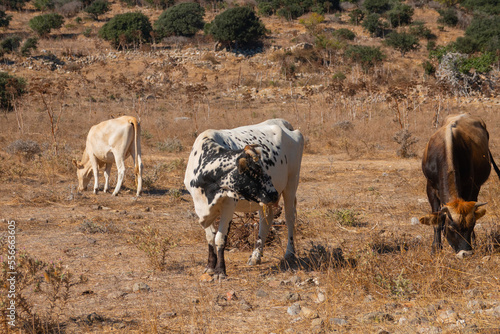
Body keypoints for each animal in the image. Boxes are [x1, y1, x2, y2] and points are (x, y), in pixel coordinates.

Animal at [185, 118, 304, 278]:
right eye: (254, 171)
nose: (273, 194)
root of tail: (283, 123)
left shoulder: (229, 205)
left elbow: (220, 238)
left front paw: (220, 270)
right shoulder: (200, 207)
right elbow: (210, 237)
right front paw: (210, 266)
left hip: (291, 184)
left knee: (290, 218)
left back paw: (290, 253)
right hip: (265, 200)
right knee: (265, 221)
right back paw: (255, 256)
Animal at [418, 113, 500, 252]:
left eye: (471, 225)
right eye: (451, 228)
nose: (465, 252)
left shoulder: (469, 186)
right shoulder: (430, 187)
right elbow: (437, 219)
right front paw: (436, 247)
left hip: (476, 187)